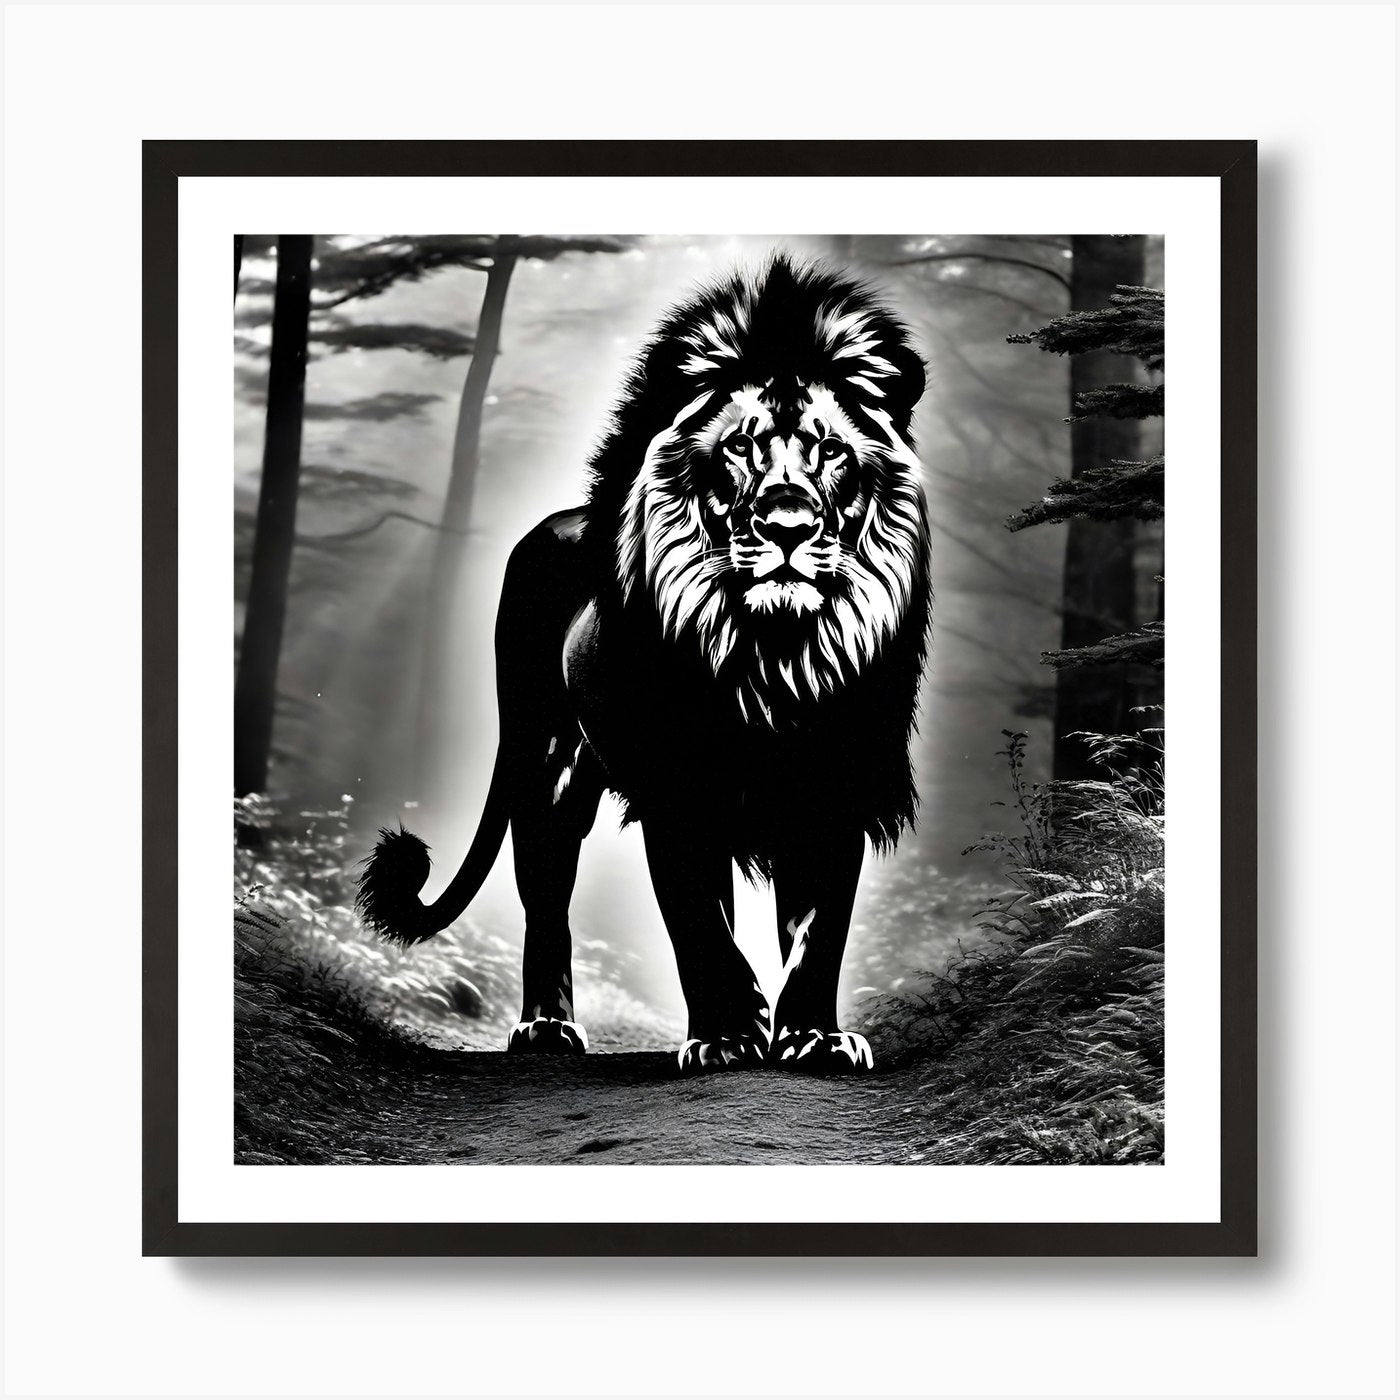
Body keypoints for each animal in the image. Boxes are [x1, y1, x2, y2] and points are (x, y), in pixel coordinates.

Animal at [358, 254, 931, 1075]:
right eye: (740, 448)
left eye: (829, 450)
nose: (787, 525)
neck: (768, 650)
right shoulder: (676, 789)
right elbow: (698, 923)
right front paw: (729, 1032)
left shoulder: (832, 784)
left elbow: (818, 931)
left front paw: (813, 1038)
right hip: (546, 762)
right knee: (546, 893)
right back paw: (546, 1030)